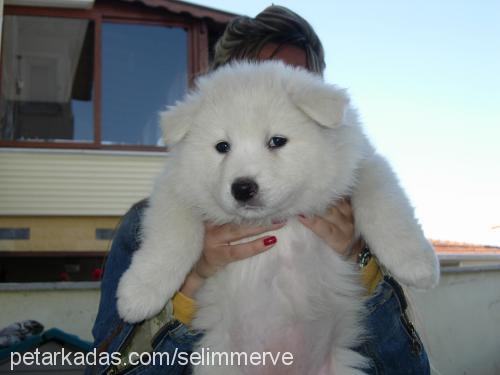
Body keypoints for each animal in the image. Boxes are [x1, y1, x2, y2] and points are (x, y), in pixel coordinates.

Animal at [116, 60, 438, 374]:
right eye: (222, 147)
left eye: (277, 141)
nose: (242, 188)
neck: (274, 220)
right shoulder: (175, 190)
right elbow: (171, 240)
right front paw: (137, 296)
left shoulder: (364, 166)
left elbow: (384, 207)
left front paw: (417, 265)